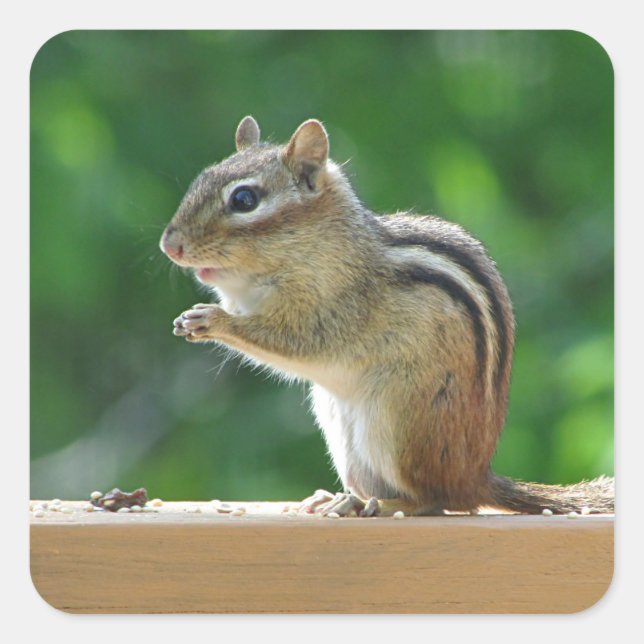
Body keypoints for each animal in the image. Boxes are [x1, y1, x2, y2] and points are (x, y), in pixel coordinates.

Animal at [160, 116, 614, 517]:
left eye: (244, 200)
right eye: (202, 177)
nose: (170, 245)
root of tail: (475, 477)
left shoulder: (334, 308)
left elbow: (294, 340)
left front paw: (213, 320)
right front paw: (189, 318)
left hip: (397, 421)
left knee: (438, 501)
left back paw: (384, 505)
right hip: (344, 433)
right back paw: (337, 500)